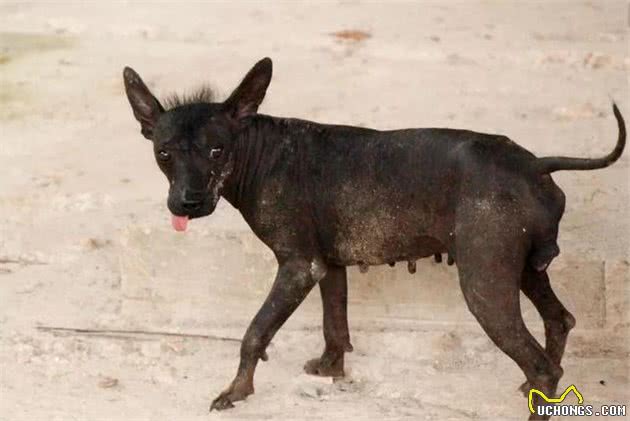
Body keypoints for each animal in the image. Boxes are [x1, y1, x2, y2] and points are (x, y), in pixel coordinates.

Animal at [122, 57, 628, 418]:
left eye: (216, 150)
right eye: (164, 154)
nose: (187, 202)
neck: (259, 149)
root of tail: (534, 163)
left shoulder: (298, 268)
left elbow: (254, 332)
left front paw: (237, 392)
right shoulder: (327, 266)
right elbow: (335, 324)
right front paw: (331, 370)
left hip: (485, 285)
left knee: (542, 363)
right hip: (523, 269)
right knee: (559, 322)